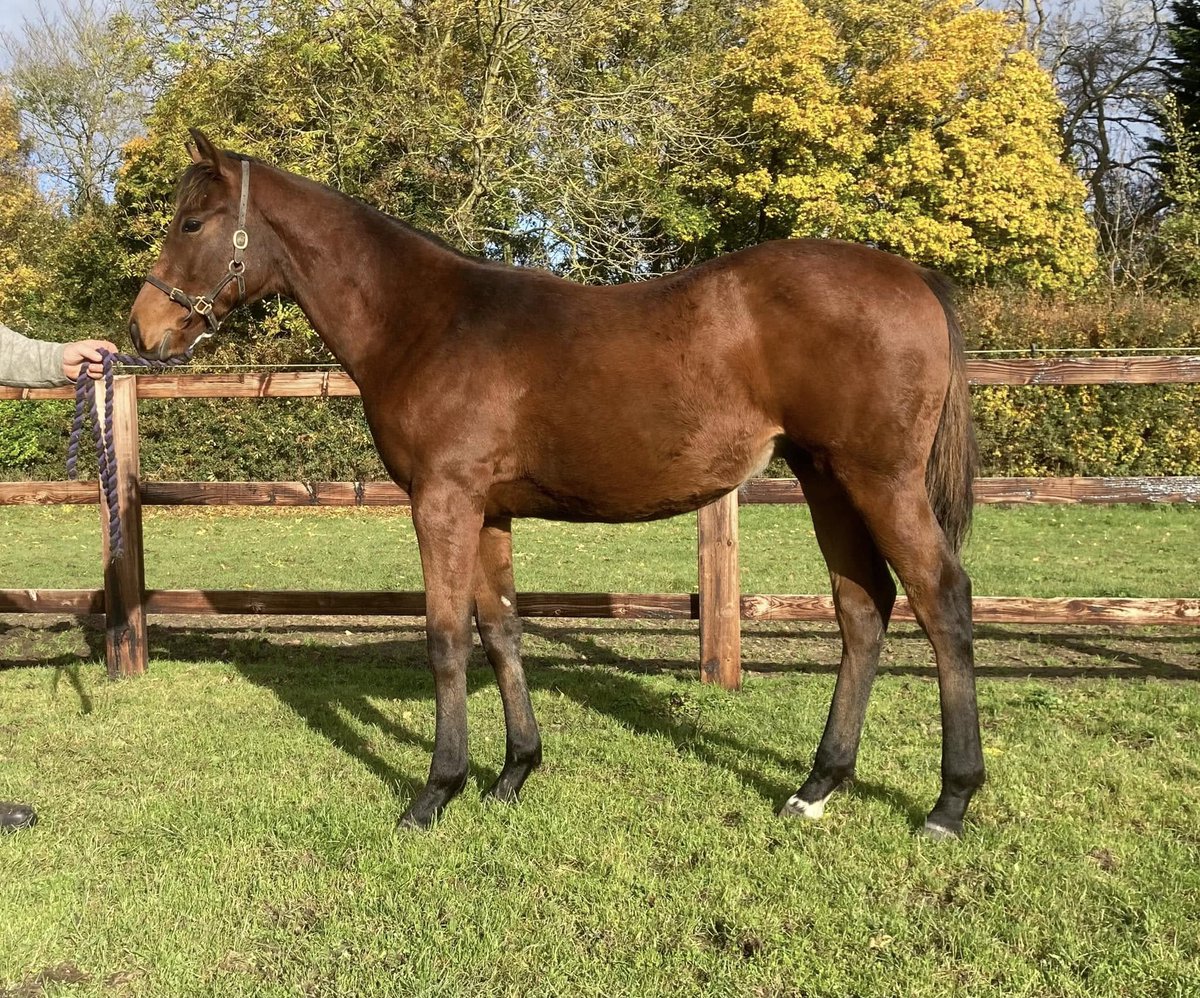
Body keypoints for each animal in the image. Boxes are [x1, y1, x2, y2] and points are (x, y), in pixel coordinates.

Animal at [128, 129, 984, 839]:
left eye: (192, 224)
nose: (143, 329)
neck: (426, 323)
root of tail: (913, 279)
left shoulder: (442, 501)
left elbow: (445, 638)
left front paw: (436, 791)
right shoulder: (487, 512)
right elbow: (501, 629)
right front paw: (513, 773)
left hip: (881, 481)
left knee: (941, 599)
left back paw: (949, 802)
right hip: (826, 478)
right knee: (863, 607)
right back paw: (818, 786)